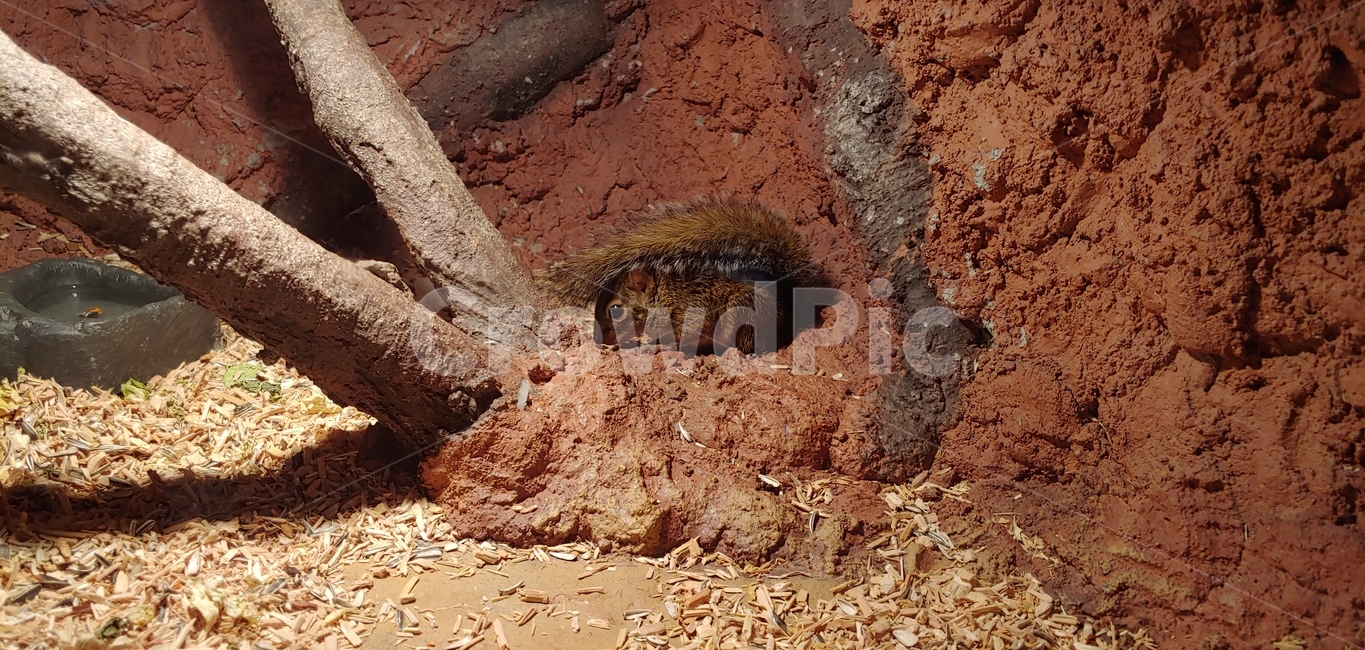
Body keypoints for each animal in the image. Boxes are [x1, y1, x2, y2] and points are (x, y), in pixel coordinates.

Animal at [540, 196, 821, 355]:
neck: (664, 295)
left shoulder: (693, 311)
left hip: (742, 316)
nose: (598, 341)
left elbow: (684, 337)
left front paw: (654, 346)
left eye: (616, 310)